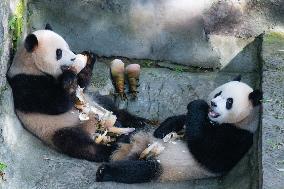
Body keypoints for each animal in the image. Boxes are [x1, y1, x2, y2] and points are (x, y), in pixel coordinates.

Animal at [6, 24, 146, 162]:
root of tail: (94, 128)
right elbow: (56, 105)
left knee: (111, 107)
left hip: (94, 101)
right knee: (78, 144)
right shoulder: (24, 83)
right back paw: (112, 148)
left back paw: (137, 122)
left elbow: (82, 86)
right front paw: (69, 80)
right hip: (56, 128)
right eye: (59, 52)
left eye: (67, 47)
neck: (31, 65)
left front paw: (88, 59)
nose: (74, 57)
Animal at [95, 76, 262, 183]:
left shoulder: (239, 136)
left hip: (163, 166)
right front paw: (162, 130)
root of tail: (134, 150)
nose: (213, 104)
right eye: (218, 93)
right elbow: (179, 120)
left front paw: (198, 104)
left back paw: (105, 171)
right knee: (131, 133)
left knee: (137, 171)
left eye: (229, 102)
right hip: (142, 136)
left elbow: (210, 154)